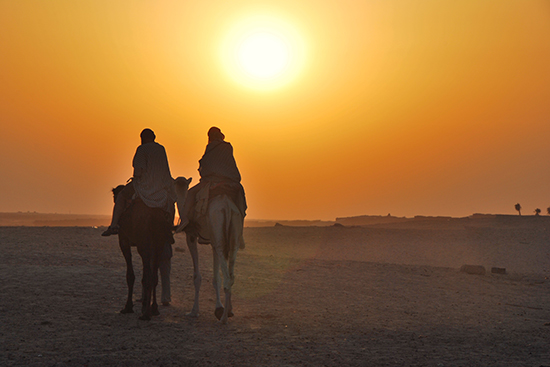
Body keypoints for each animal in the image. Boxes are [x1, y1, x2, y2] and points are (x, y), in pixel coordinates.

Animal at [113, 177, 193, 320]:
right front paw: (146, 303)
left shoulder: (124, 241)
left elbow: (131, 275)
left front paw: (128, 307)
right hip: (156, 242)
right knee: (154, 274)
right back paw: (153, 308)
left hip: (144, 243)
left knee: (149, 274)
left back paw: (146, 312)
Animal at [175, 178, 244, 324]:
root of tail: (227, 206)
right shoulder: (213, 242)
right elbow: (216, 278)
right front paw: (219, 308)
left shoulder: (191, 236)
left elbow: (197, 276)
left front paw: (194, 311)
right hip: (231, 236)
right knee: (231, 276)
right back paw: (228, 312)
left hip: (217, 227)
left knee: (228, 278)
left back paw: (223, 319)